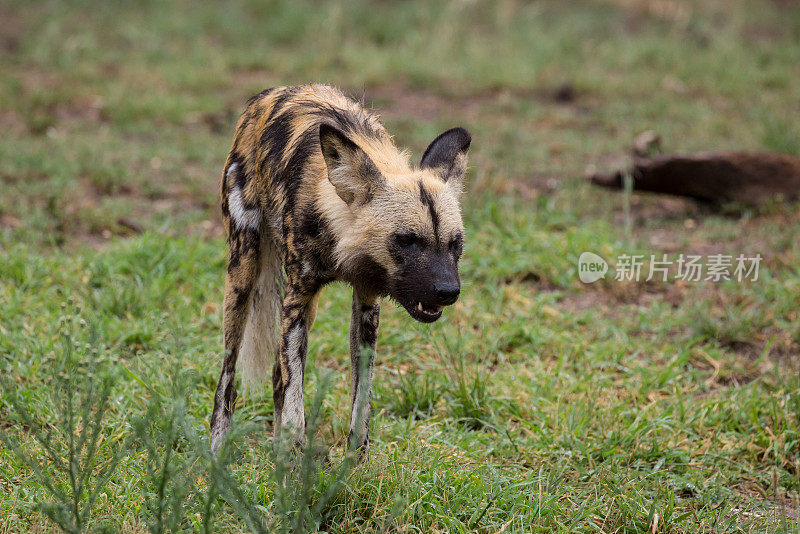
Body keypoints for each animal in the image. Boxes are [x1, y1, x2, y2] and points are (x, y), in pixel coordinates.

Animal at [212, 84, 472, 456]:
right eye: (407, 240)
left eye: (454, 244)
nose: (448, 291)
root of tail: (269, 93)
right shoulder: (296, 301)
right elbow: (295, 404)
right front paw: (295, 461)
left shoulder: (366, 305)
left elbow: (360, 403)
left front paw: (354, 464)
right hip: (243, 276)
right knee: (228, 378)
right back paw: (217, 451)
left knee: (277, 374)